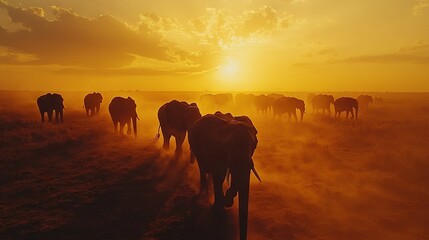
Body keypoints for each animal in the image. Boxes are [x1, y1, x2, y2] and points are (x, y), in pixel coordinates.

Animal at [188, 112, 260, 240]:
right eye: (227, 146)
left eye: (255, 145)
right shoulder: (215, 150)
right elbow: (219, 176)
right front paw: (219, 209)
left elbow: (235, 178)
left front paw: (227, 200)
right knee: (203, 169)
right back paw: (204, 193)